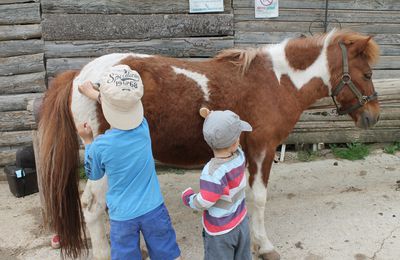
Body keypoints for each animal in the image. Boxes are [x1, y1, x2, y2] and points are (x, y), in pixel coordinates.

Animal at [39, 29, 380, 260]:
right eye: (367, 73)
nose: (373, 117)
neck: (275, 82)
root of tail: (80, 75)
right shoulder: (263, 149)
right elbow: (259, 199)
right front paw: (265, 246)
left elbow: (243, 197)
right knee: (92, 207)